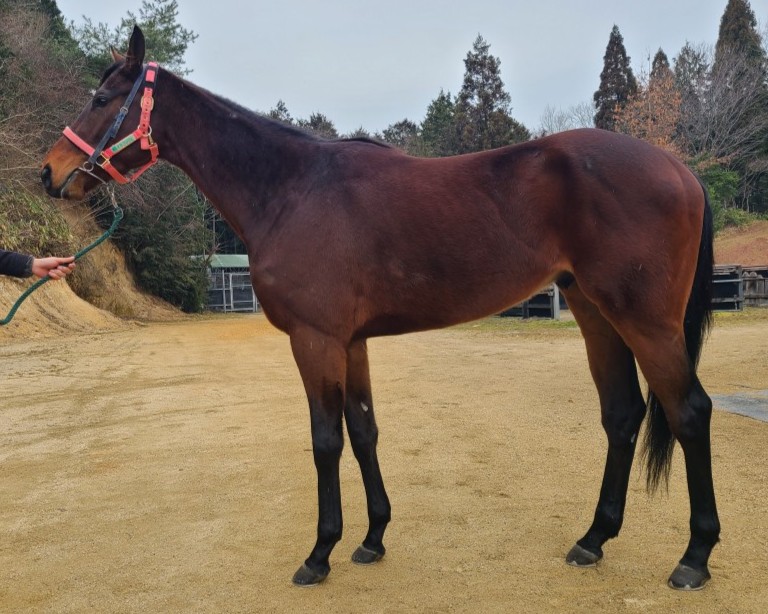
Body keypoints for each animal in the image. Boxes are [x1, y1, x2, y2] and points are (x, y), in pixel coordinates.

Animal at [41, 26, 719, 591]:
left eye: (101, 97)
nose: (48, 173)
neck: (292, 189)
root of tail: (678, 168)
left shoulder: (315, 338)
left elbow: (325, 439)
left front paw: (320, 553)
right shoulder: (352, 341)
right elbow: (364, 430)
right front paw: (371, 539)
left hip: (645, 321)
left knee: (689, 412)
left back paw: (693, 559)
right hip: (594, 312)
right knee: (623, 414)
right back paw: (593, 539)